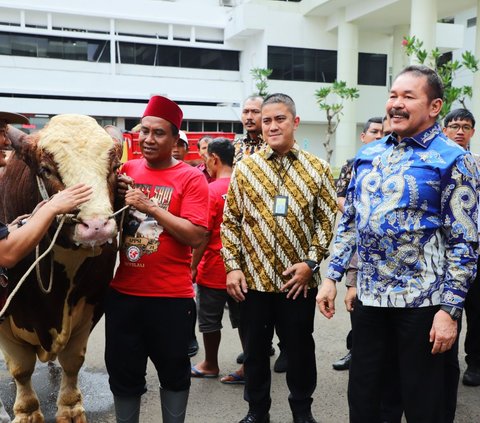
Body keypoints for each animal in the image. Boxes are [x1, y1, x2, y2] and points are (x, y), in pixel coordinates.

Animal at [0, 115, 119, 423]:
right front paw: (27, 412)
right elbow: (21, 368)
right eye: (46, 169)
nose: (97, 227)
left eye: (114, 167)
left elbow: (72, 361)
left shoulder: (93, 304)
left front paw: (70, 407)